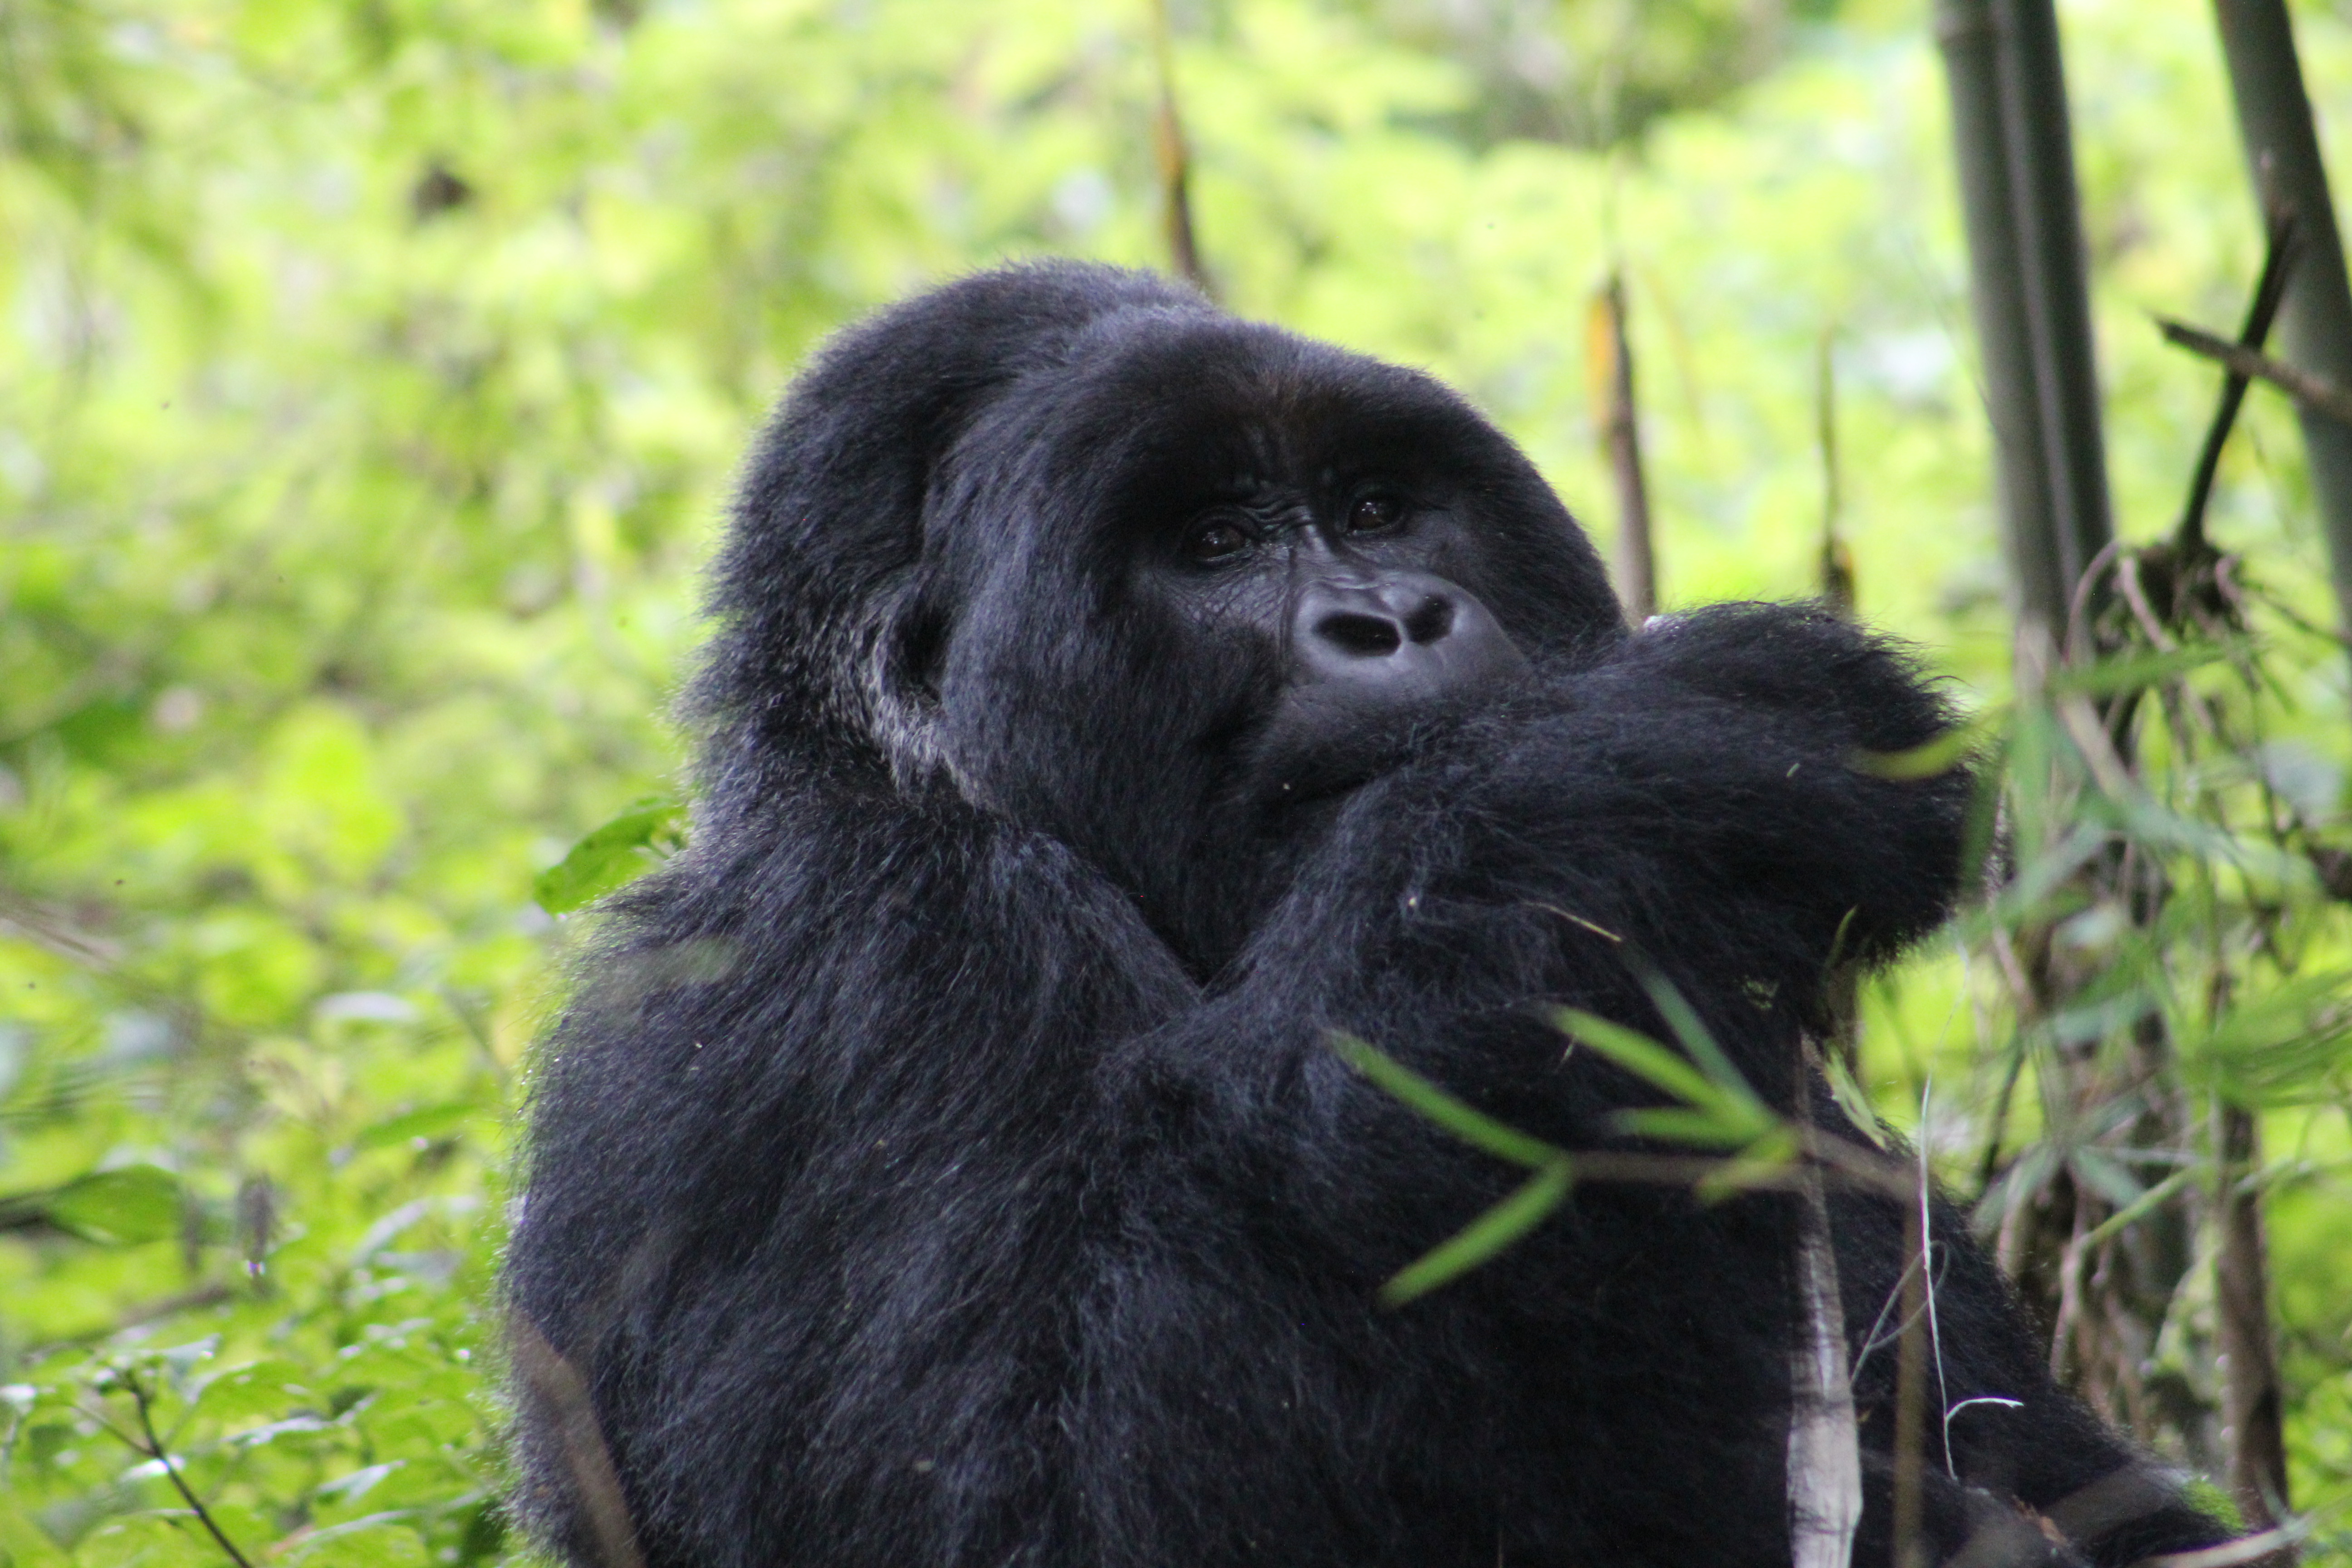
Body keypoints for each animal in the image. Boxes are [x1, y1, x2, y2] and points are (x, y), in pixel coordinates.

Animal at [505, 263, 2230, 1561]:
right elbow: (1057, 1507)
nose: (1388, 619)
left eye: (1381, 507)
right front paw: (1658, 761)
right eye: (1213, 543)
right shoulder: (859, 958)